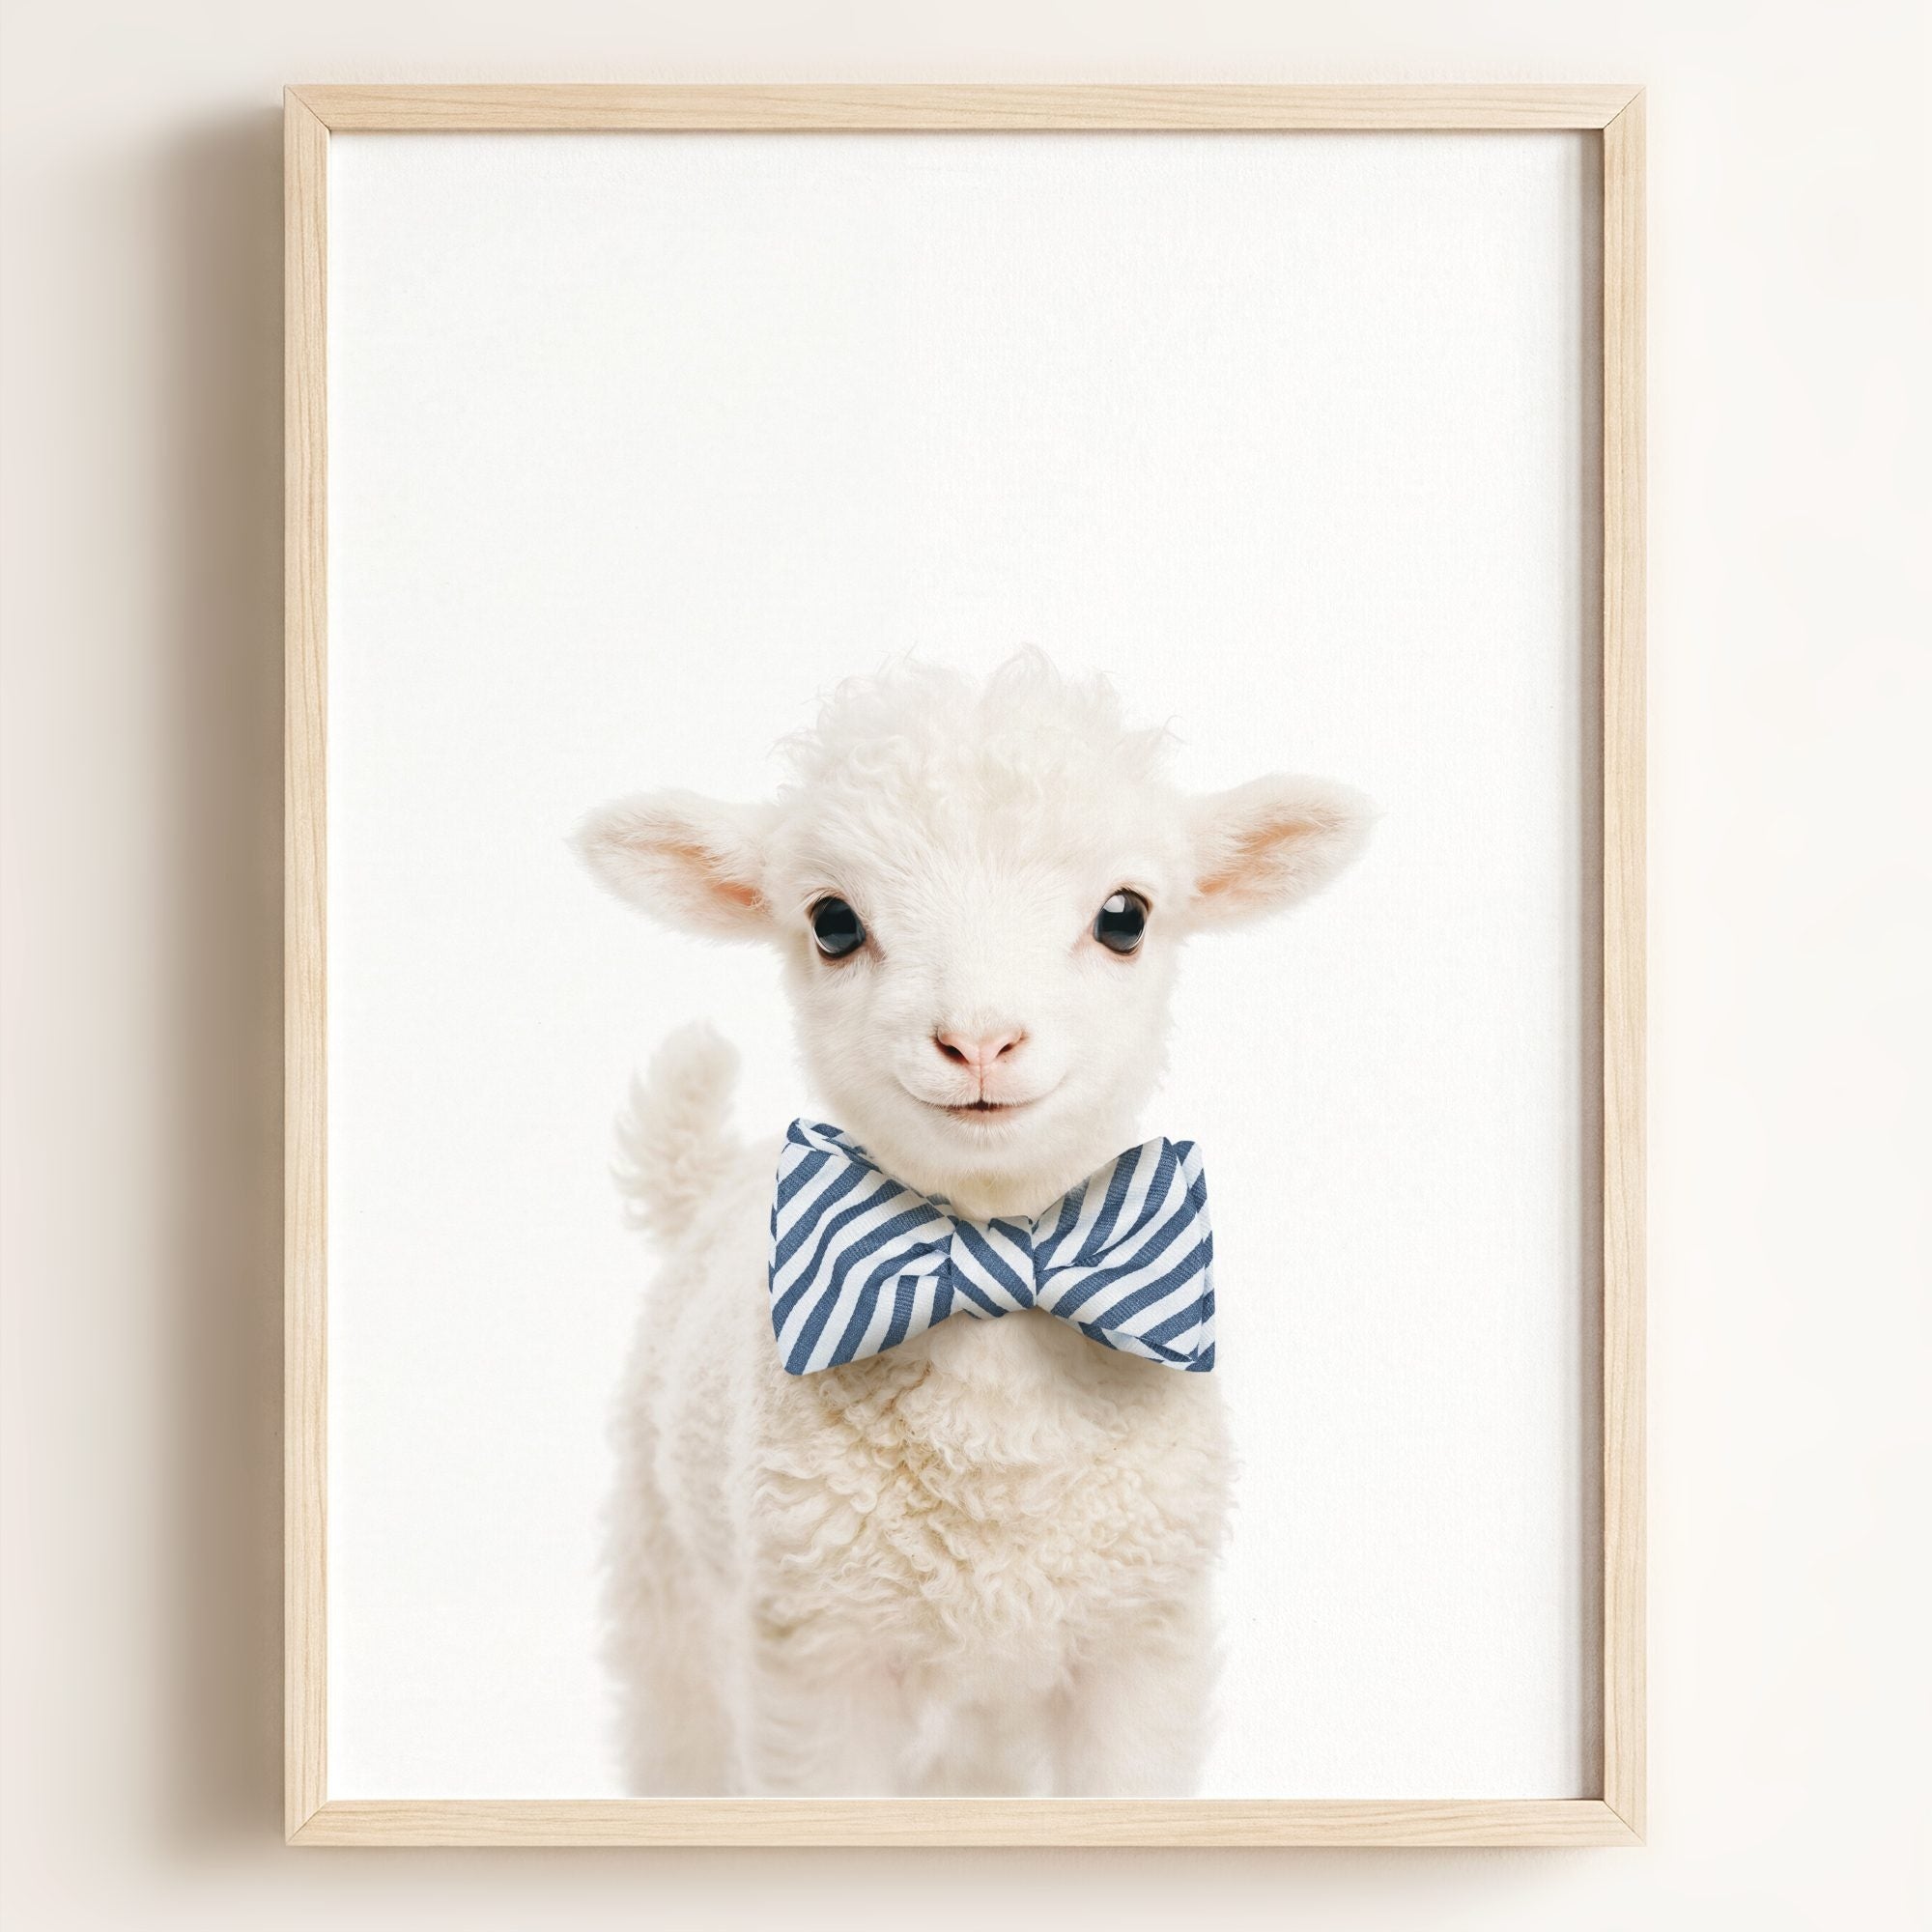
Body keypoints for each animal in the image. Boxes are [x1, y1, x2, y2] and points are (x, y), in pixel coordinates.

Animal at [576, 651, 1371, 1796]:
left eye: (1125, 915)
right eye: (832, 922)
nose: (980, 1039)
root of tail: (712, 1177)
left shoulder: (1139, 1642)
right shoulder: (817, 1654)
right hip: (669, 1579)